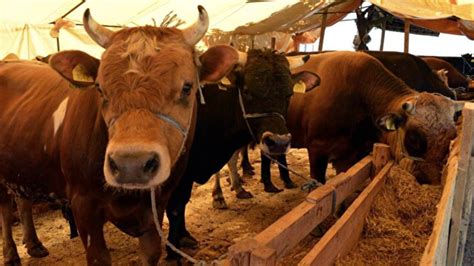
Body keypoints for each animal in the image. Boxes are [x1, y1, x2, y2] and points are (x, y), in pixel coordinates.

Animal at [0, 6, 241, 266]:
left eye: (187, 88)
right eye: (100, 89)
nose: (130, 165)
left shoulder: (156, 207)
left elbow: (151, 253)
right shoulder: (83, 206)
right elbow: (99, 257)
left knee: (22, 201)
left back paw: (34, 244)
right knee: (5, 210)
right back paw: (11, 253)